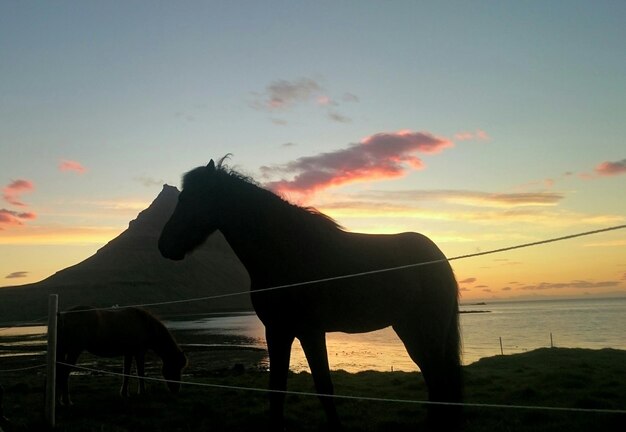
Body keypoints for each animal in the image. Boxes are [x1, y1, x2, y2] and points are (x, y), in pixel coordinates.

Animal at [56, 306, 185, 404]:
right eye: (175, 367)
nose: (176, 390)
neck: (144, 324)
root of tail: (64, 317)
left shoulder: (128, 353)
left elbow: (126, 373)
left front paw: (124, 393)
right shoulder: (139, 352)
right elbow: (140, 372)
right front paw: (142, 392)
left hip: (64, 351)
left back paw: (59, 400)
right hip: (74, 350)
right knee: (64, 372)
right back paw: (67, 401)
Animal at [158, 158, 460, 428]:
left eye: (187, 199)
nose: (164, 245)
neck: (288, 254)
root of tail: (438, 257)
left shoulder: (310, 332)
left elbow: (324, 386)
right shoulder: (277, 331)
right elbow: (277, 387)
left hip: (426, 330)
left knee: (439, 380)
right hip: (409, 328)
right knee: (434, 379)